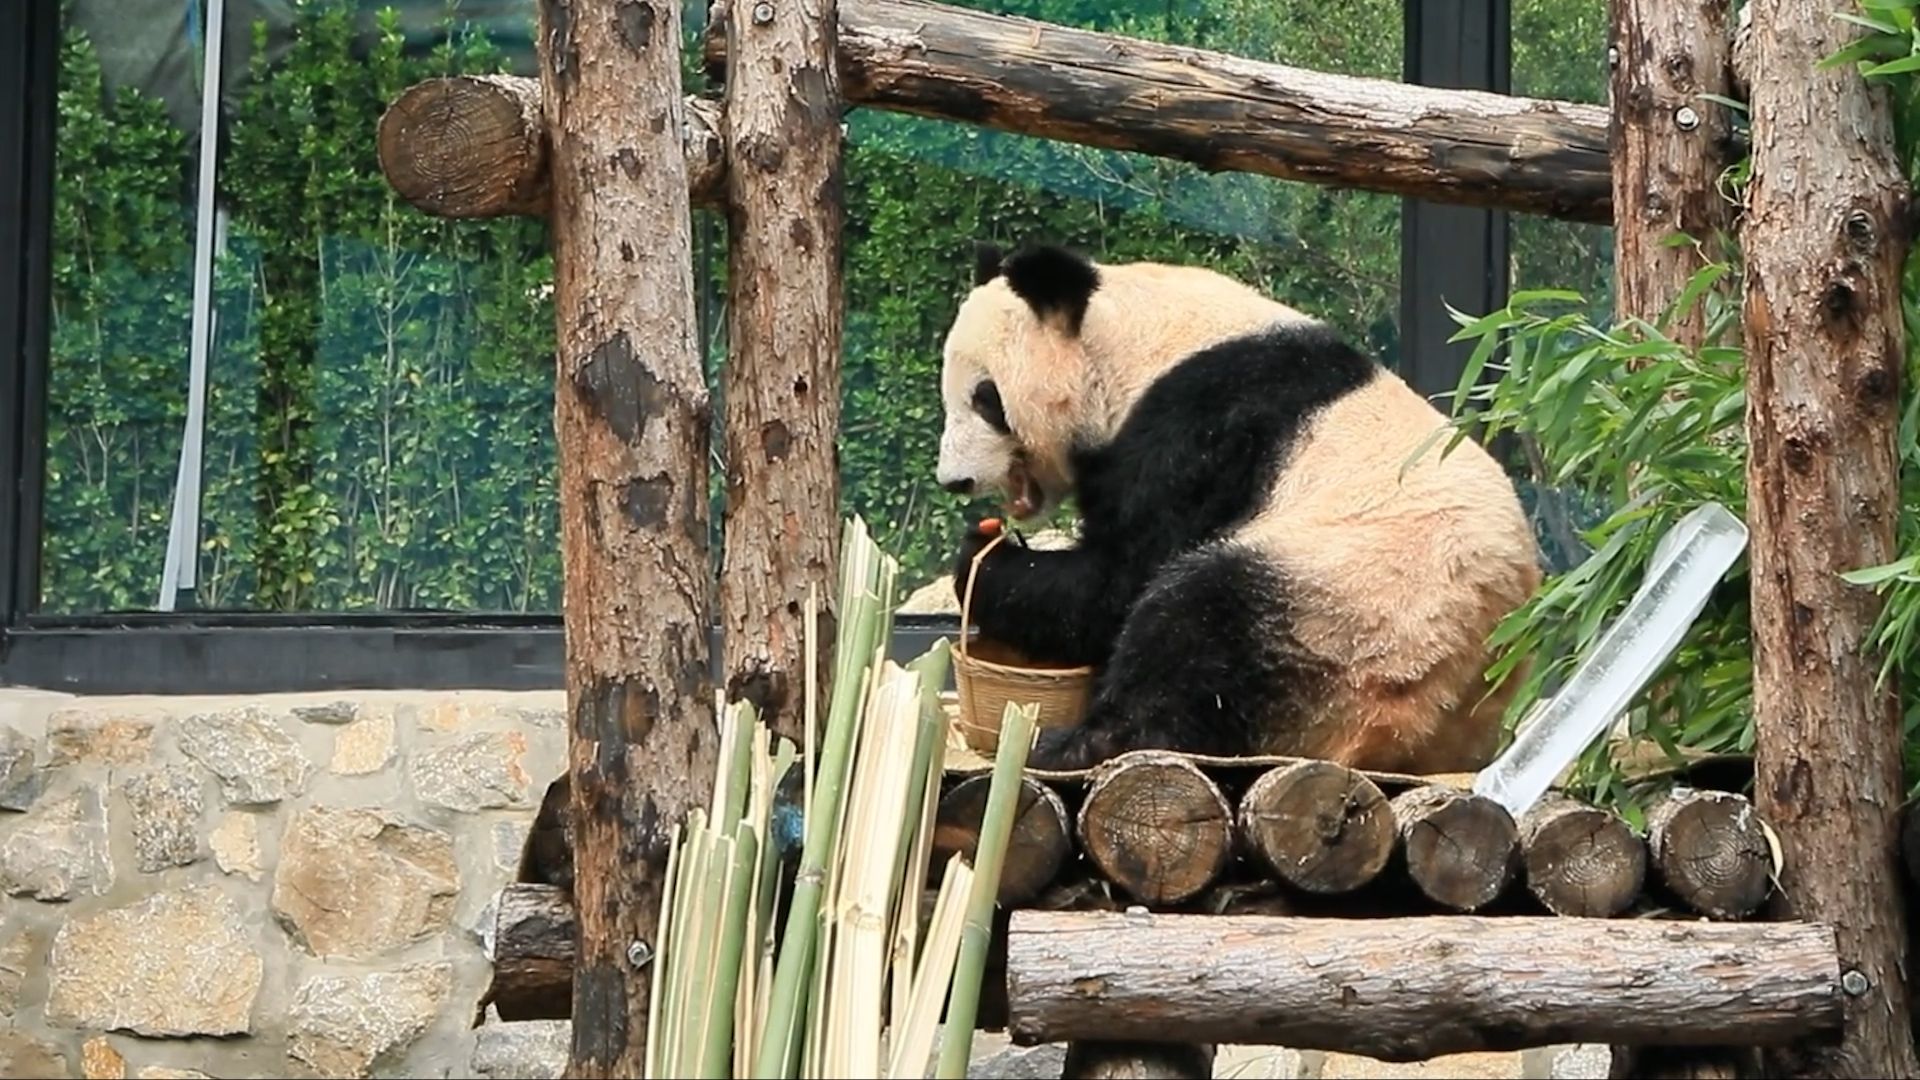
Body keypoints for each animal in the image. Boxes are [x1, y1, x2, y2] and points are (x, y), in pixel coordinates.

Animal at [929, 242, 1543, 772]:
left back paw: (1079, 744)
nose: (954, 480)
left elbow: (1117, 583)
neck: (1135, 343)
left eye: (985, 399)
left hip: (1352, 615)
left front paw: (986, 560)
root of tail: (1409, 738)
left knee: (1201, 625)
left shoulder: (1207, 430)